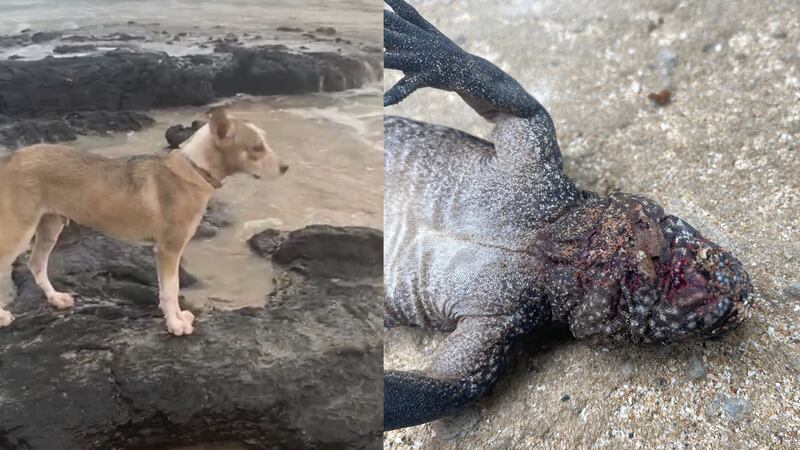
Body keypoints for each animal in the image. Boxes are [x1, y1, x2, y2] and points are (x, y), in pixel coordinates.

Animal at [0, 107, 288, 336]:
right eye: (257, 148)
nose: (286, 168)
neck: (194, 170)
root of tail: (9, 159)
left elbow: (170, 290)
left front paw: (178, 317)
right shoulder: (168, 250)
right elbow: (170, 290)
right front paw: (174, 324)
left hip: (50, 225)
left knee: (36, 263)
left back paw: (55, 298)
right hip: (17, 231)